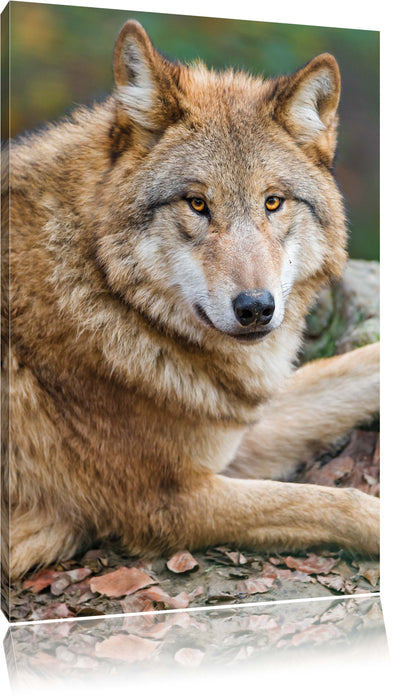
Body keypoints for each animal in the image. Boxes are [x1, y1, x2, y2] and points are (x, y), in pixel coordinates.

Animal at [1, 21, 379, 581]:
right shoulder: (171, 500)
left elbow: (360, 365)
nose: (255, 308)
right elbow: (335, 502)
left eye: (272, 202)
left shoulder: (232, 430)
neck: (104, 291)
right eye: (198, 204)